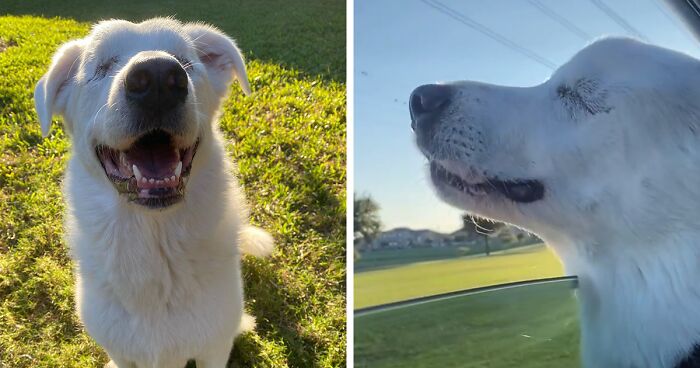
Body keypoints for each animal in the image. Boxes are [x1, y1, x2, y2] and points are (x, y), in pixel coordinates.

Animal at [33, 18, 274, 368]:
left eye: (186, 62)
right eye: (102, 66)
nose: (159, 77)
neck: (154, 243)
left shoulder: (213, 349)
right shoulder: (122, 352)